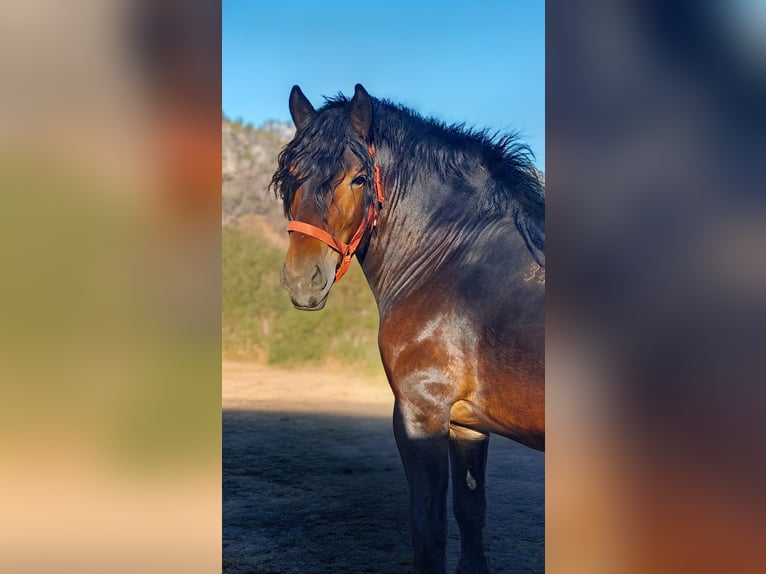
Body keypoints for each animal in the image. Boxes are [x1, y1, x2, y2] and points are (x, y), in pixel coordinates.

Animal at [271, 84, 544, 573]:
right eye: (291, 176)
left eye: (359, 178)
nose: (304, 278)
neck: (453, 265)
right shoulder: (467, 424)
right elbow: (470, 514)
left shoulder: (421, 414)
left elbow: (428, 527)